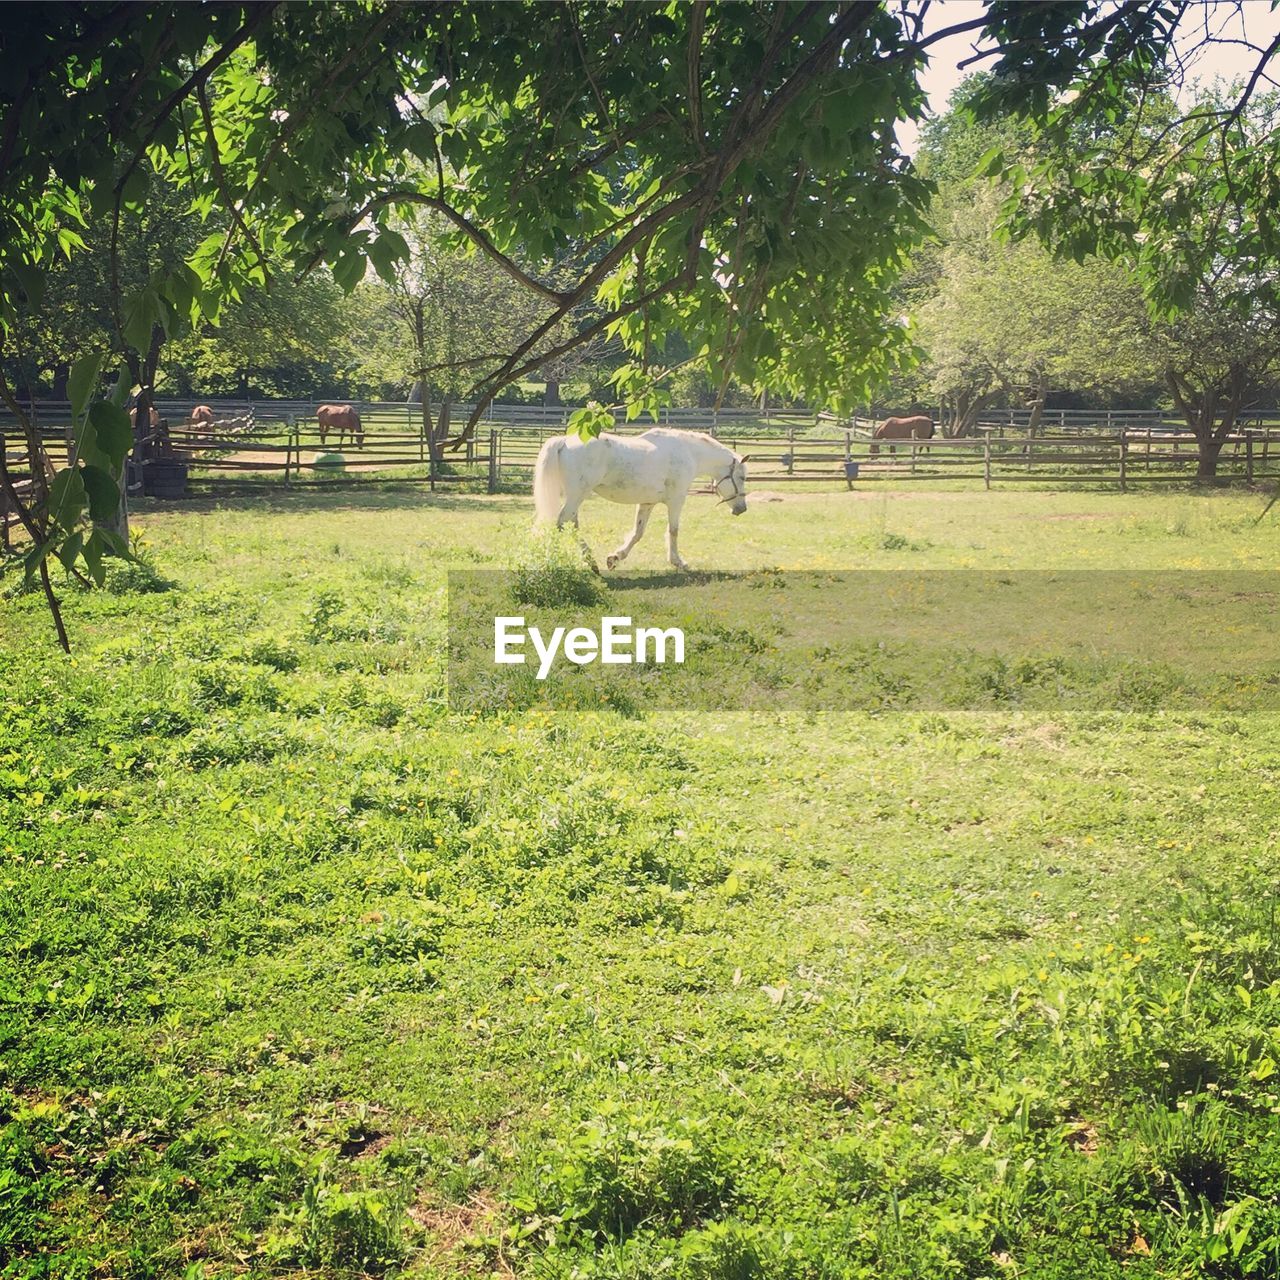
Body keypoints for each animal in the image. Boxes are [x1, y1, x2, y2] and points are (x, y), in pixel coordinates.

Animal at [532, 430, 747, 570]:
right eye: (742, 477)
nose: (742, 509)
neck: (688, 453)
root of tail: (564, 441)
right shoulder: (676, 500)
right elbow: (673, 531)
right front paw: (678, 562)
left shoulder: (647, 503)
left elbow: (638, 533)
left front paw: (615, 558)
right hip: (578, 494)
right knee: (561, 522)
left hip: (576, 497)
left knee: (570, 523)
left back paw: (591, 561)